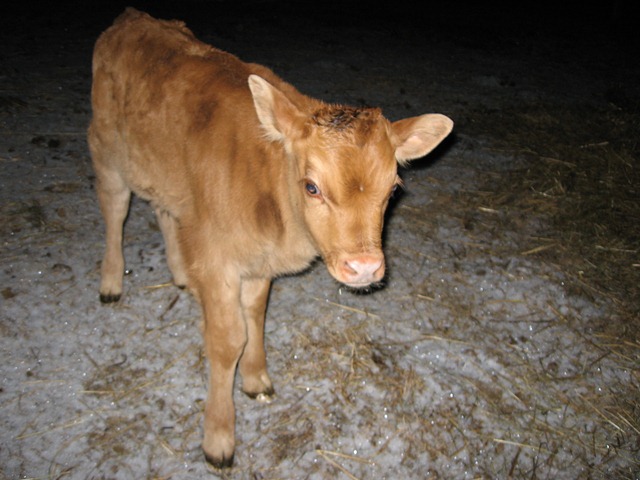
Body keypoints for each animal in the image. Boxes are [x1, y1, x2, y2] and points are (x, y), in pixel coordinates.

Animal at [88, 8, 453, 468]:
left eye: (393, 190)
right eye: (311, 187)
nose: (365, 267)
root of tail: (132, 17)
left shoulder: (258, 261)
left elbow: (255, 316)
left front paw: (257, 378)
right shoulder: (218, 259)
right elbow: (228, 341)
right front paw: (219, 436)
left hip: (164, 174)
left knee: (163, 209)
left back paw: (181, 274)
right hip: (107, 152)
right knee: (115, 210)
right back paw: (111, 283)